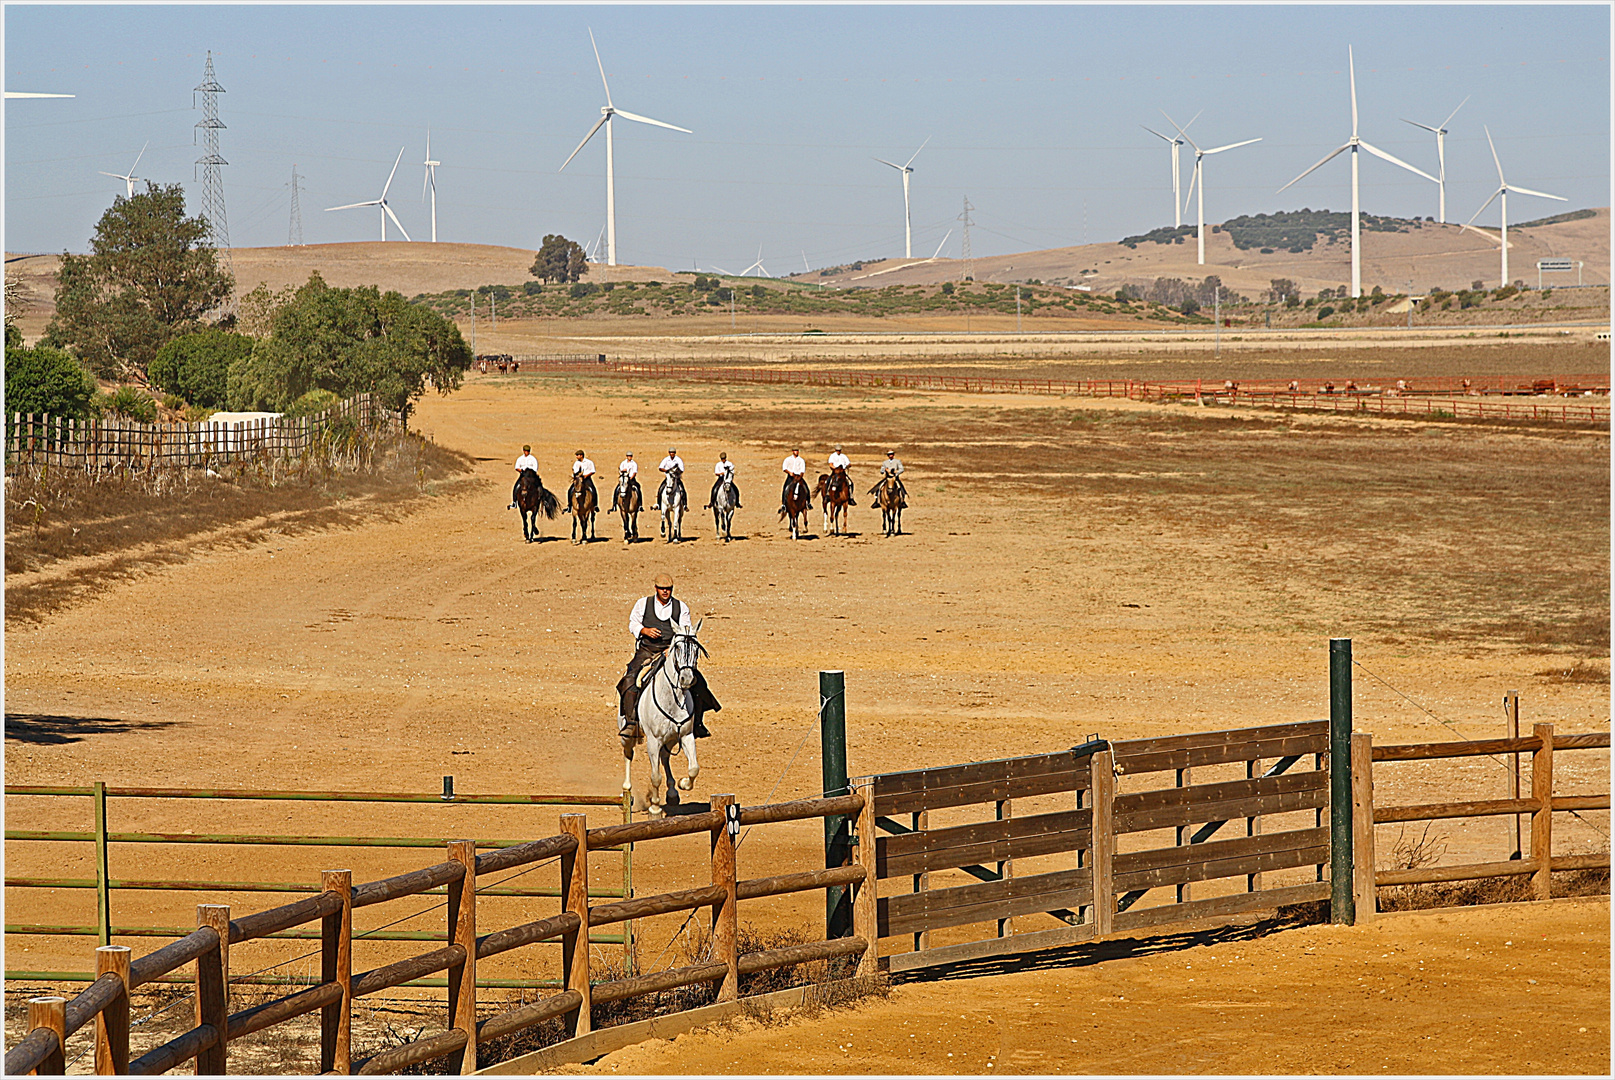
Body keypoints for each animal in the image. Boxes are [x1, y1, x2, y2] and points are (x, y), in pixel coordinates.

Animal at [620, 623, 704, 816]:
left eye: (696, 649)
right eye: (677, 647)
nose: (686, 678)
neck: (673, 698)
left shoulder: (686, 736)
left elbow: (693, 768)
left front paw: (683, 783)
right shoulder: (653, 740)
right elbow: (655, 776)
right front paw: (655, 807)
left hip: (671, 739)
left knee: (665, 757)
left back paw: (672, 793)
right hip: (627, 735)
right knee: (628, 754)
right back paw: (626, 791)